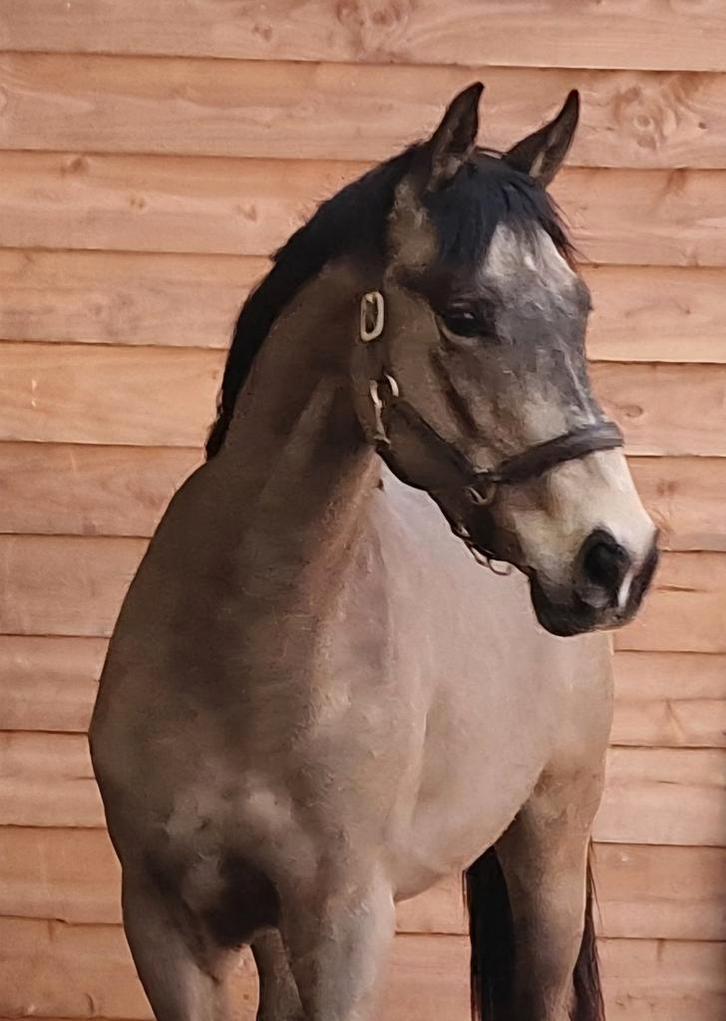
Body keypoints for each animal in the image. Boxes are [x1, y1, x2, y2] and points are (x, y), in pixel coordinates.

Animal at [90, 83, 658, 1021]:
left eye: (579, 310)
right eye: (466, 315)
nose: (618, 555)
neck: (245, 648)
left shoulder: (349, 926)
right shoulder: (169, 925)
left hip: (549, 846)